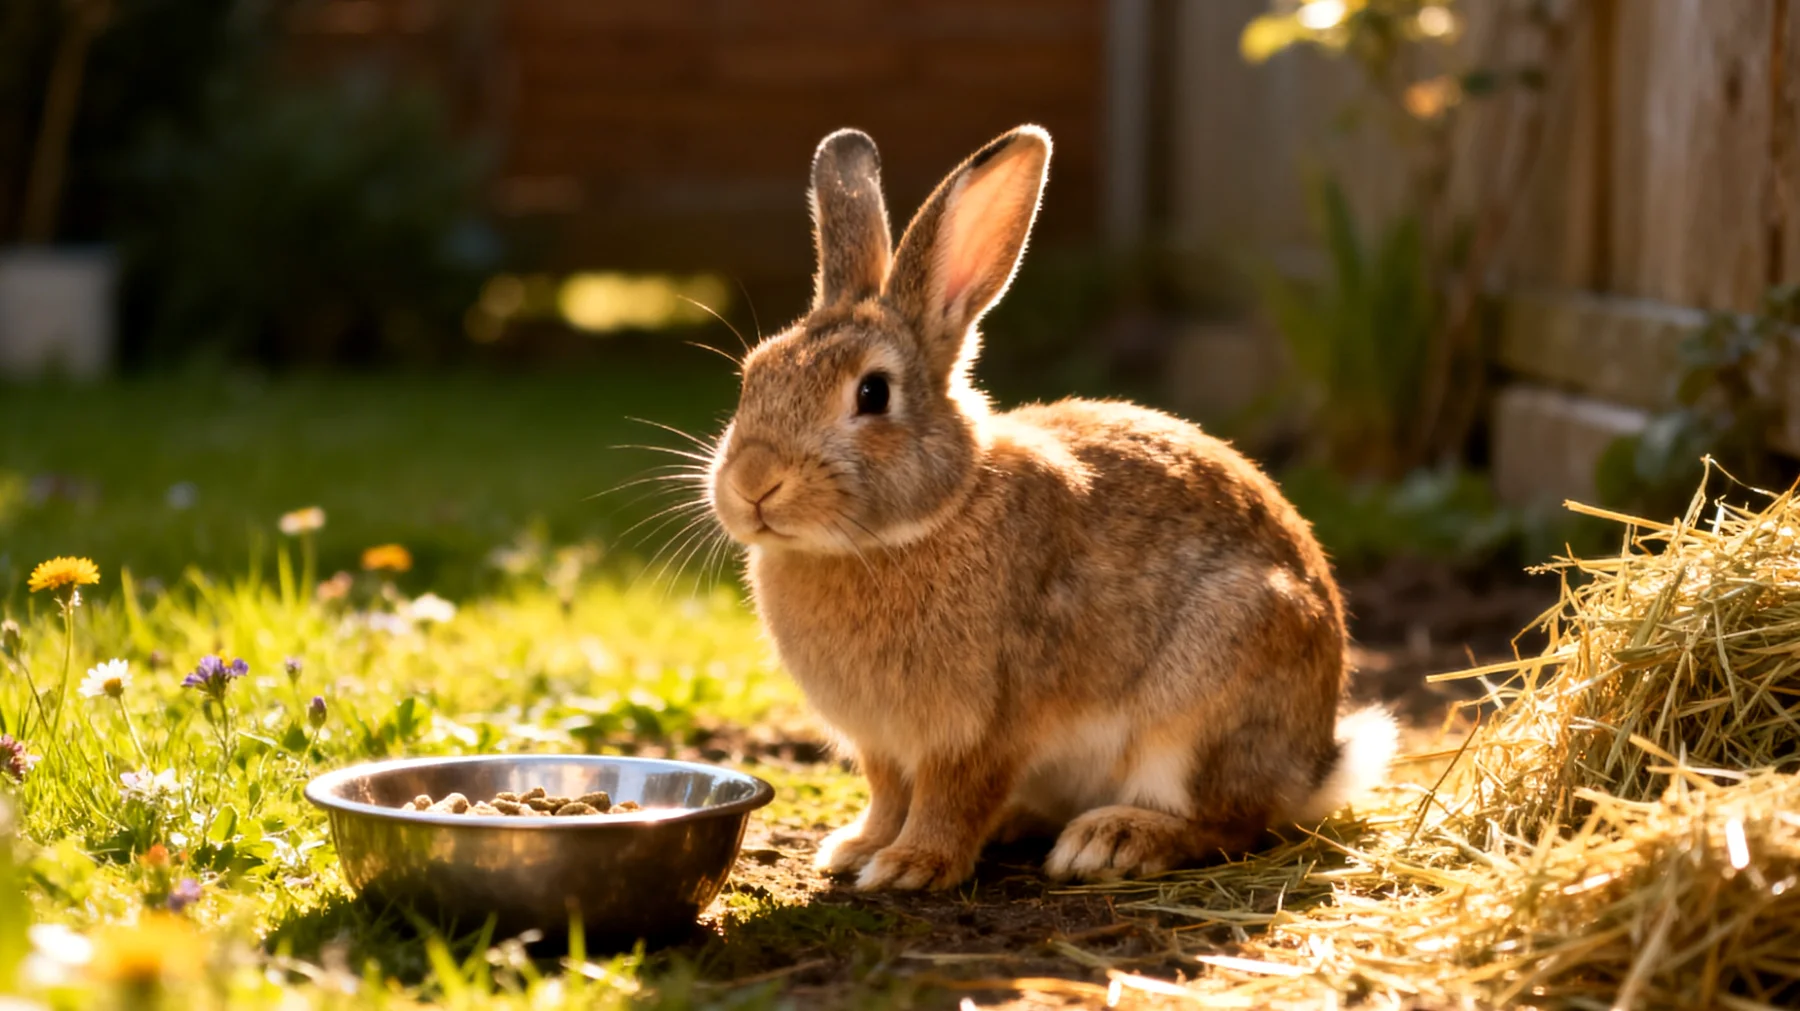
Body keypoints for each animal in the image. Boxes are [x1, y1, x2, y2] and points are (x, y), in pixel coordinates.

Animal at [706, 124, 1398, 891]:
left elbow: (951, 794)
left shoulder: (981, 725)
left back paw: (1115, 839)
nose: (753, 481)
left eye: (873, 393)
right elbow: (887, 792)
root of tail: (1316, 763)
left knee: (1231, 822)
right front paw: (856, 848)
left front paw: (912, 865)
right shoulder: (881, 743)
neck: (915, 524)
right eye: (753, 374)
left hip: (1212, 695)